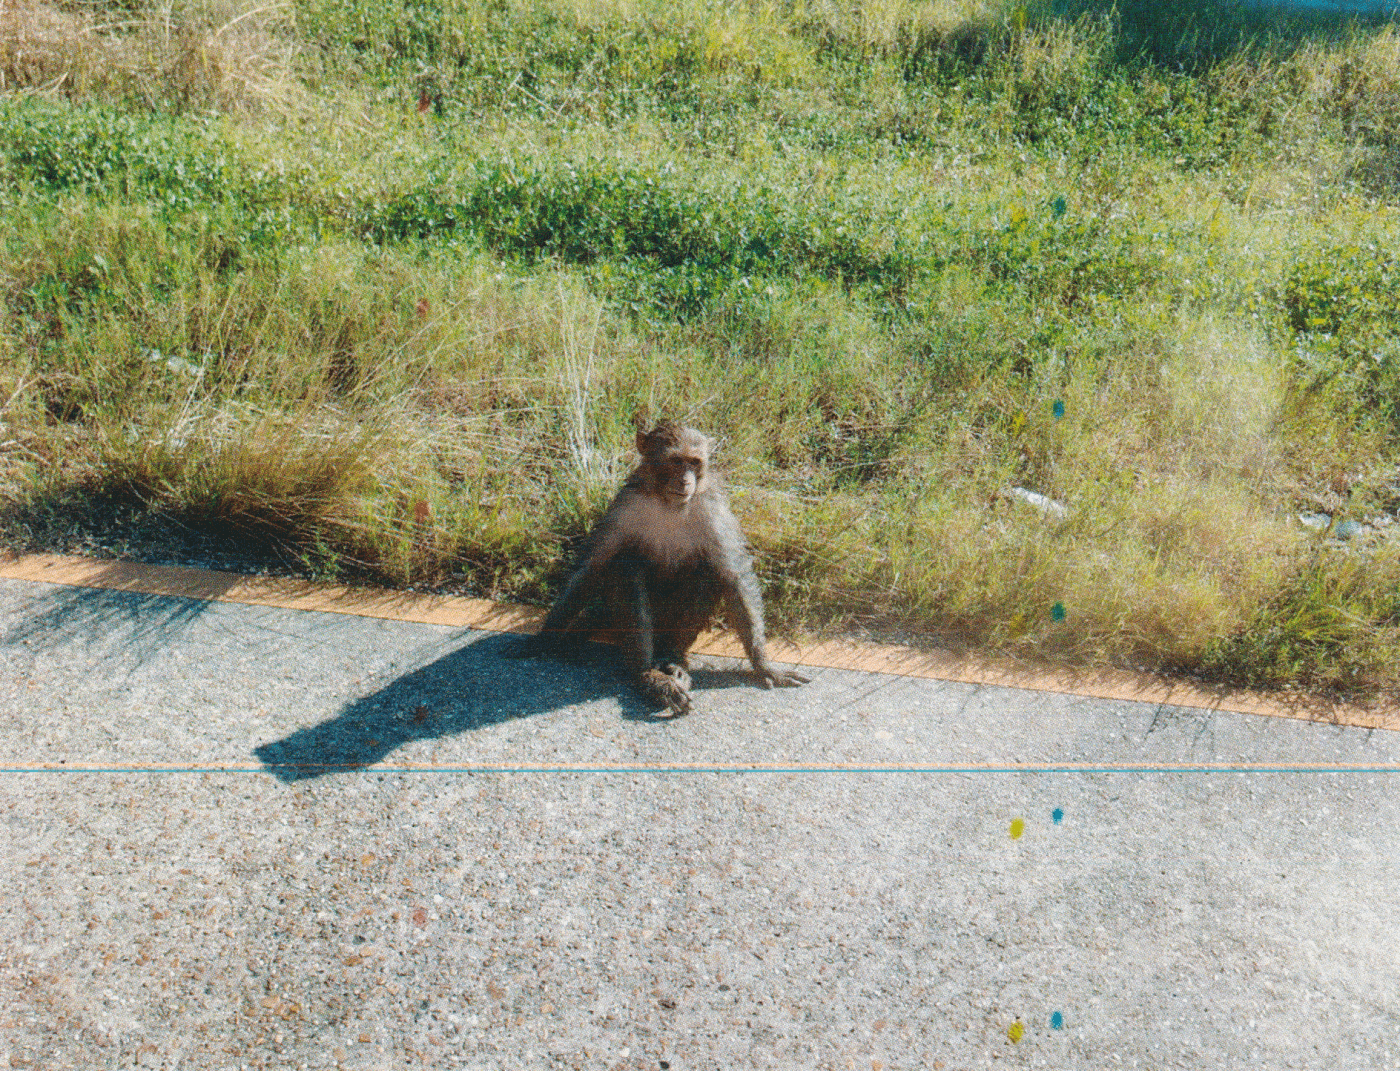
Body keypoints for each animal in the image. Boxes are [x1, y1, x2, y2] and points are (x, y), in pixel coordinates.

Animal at [513, 421, 810, 715]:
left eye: (694, 462)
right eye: (676, 461)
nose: (686, 480)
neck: (668, 502)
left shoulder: (713, 510)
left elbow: (734, 574)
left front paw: (764, 665)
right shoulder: (626, 505)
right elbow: (592, 566)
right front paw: (543, 640)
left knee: (708, 572)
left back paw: (672, 659)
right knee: (626, 567)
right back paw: (648, 674)